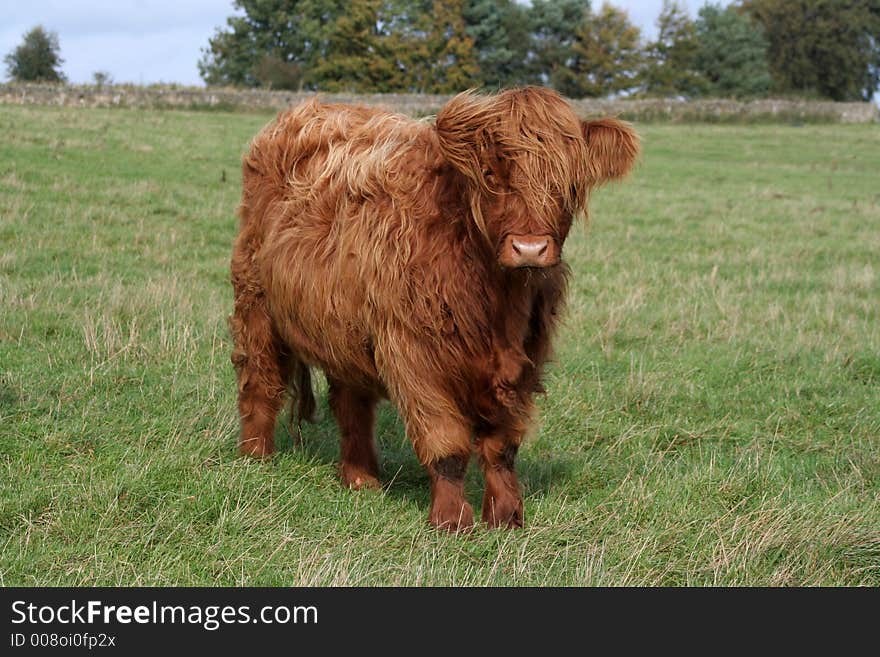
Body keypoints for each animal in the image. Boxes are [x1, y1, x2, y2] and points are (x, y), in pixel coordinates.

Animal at [230, 86, 636, 528]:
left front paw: (506, 515)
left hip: (345, 323)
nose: (529, 248)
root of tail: (308, 109)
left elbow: (501, 447)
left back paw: (360, 478)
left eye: (570, 182)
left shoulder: (524, 360)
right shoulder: (415, 355)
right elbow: (447, 445)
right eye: (490, 175)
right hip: (255, 300)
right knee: (260, 378)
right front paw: (452, 520)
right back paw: (256, 456)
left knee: (351, 401)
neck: (497, 303)